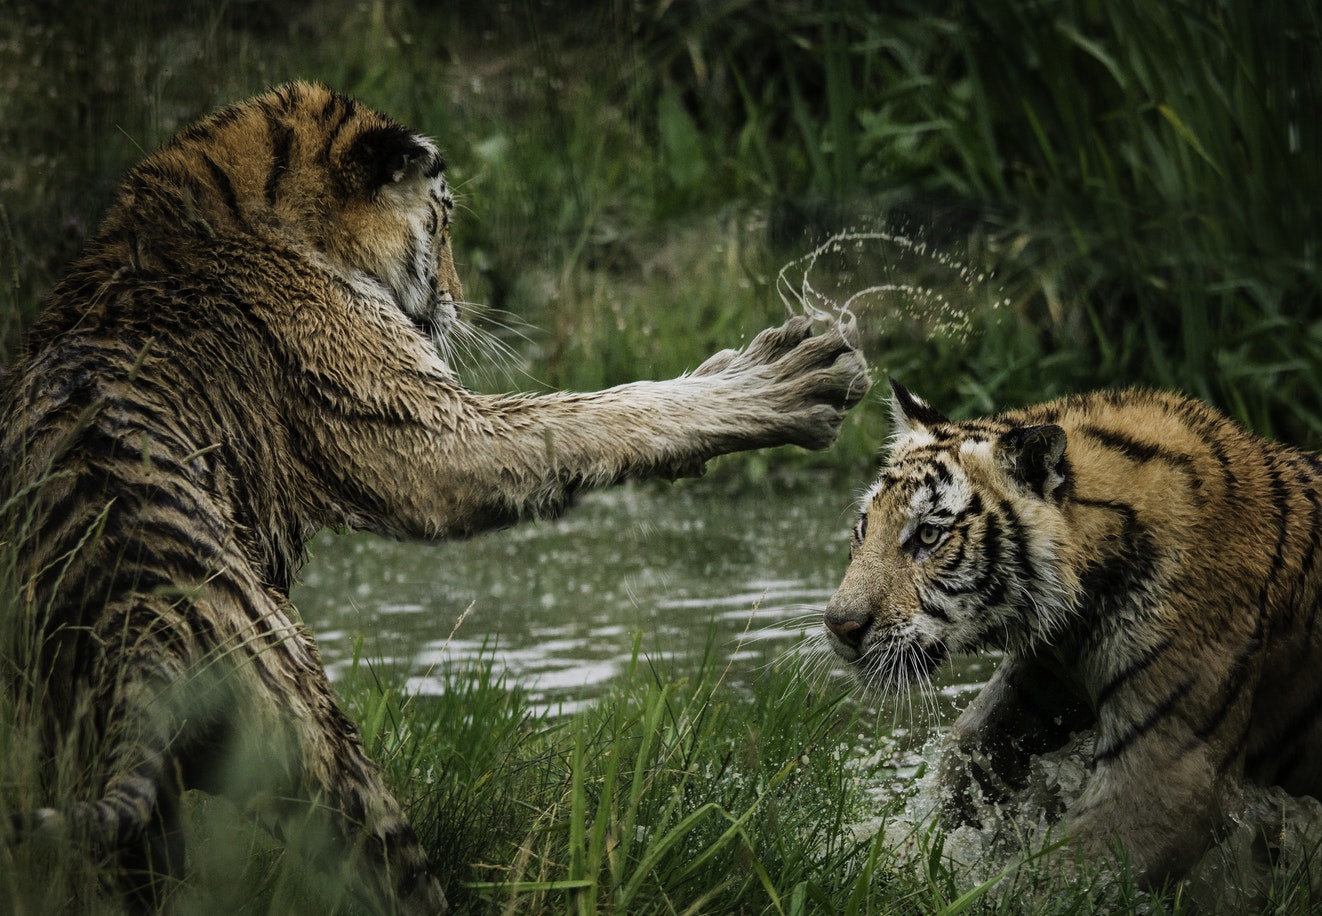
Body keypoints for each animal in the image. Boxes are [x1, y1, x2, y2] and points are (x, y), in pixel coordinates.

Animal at [0, 80, 872, 914]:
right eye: (444, 224)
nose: (456, 300)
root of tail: (135, 623)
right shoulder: (430, 435)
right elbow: (597, 414)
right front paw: (787, 379)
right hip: (318, 746)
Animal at [824, 378, 1322, 877]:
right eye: (864, 527)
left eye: (929, 535)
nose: (839, 625)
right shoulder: (1043, 680)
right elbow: (965, 754)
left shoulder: (1169, 776)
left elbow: (1055, 875)